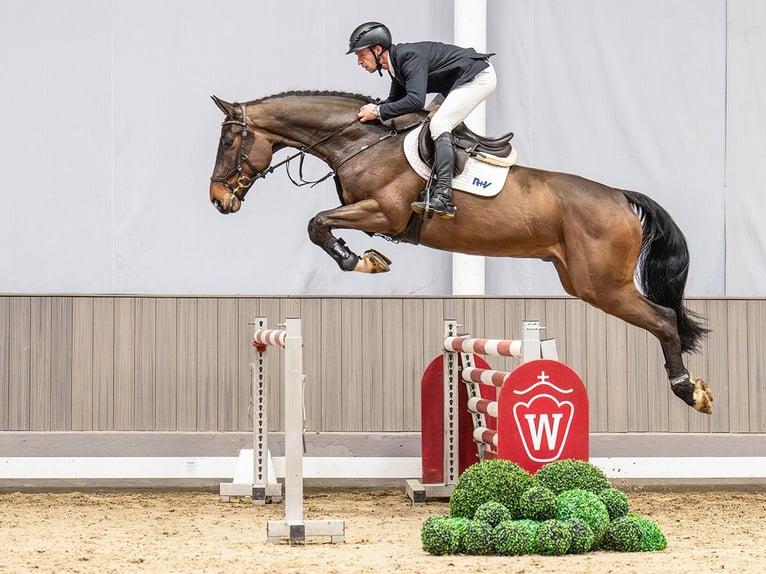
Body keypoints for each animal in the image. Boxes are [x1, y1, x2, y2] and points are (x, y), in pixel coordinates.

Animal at [208, 90, 713, 415]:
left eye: (229, 141)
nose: (218, 199)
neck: (362, 142)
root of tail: (619, 197)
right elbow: (320, 224)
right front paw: (368, 259)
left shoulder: (384, 213)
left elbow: (317, 223)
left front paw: (362, 261)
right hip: (580, 279)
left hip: (603, 286)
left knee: (664, 320)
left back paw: (690, 392)